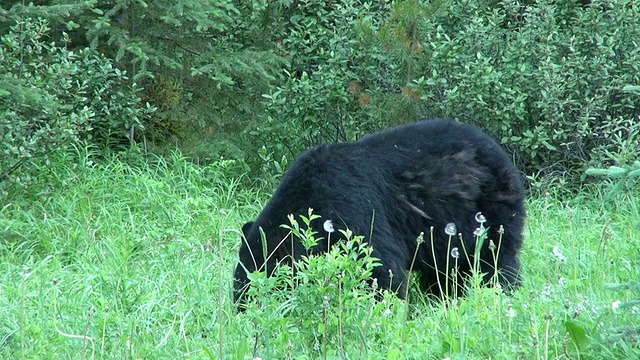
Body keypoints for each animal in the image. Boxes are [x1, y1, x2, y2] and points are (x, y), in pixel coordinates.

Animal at [234, 119, 524, 306]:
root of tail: (497, 149)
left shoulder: (354, 212)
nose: (240, 308)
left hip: (489, 207)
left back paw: (500, 291)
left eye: (252, 283)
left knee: (495, 258)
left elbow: (379, 267)